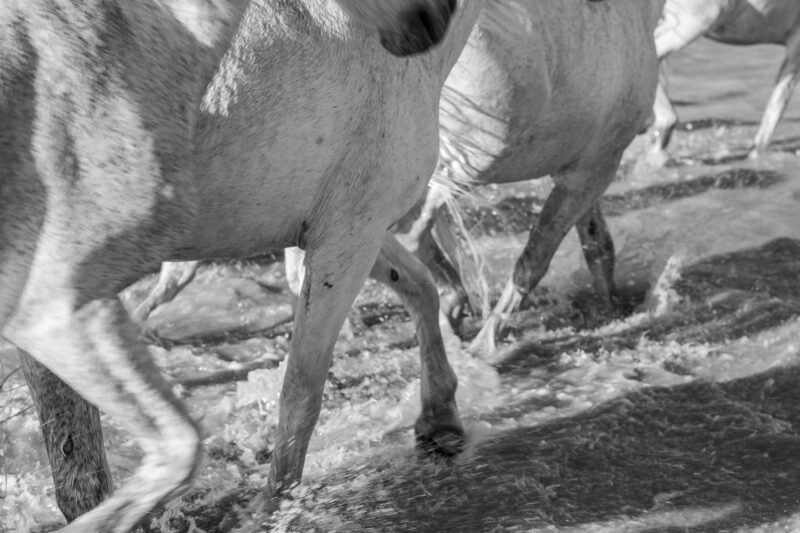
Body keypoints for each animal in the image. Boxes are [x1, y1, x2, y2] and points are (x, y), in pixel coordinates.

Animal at [0, 1, 462, 528]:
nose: (428, 22)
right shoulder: (351, 232)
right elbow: (302, 391)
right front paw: (273, 508)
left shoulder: (341, 227)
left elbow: (418, 284)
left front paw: (440, 417)